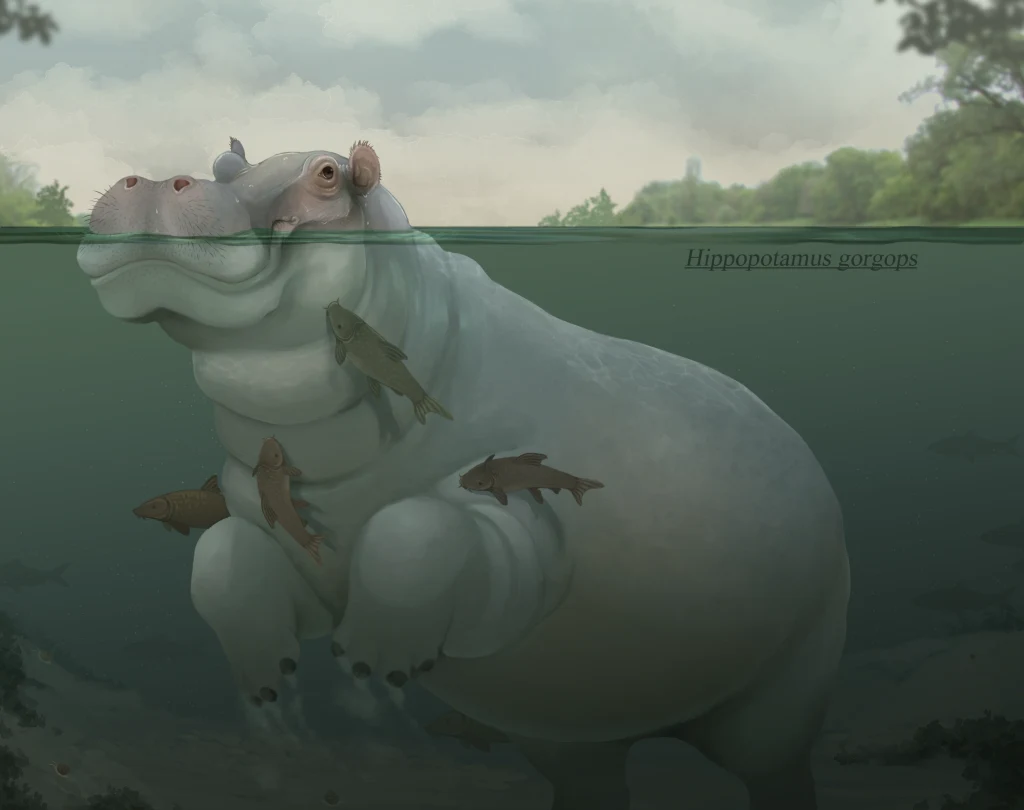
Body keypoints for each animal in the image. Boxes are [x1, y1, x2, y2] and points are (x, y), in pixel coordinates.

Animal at [77, 137, 850, 810]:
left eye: (327, 173)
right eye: (224, 164)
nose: (153, 182)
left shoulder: (513, 514)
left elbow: (415, 533)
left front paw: (372, 661)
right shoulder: (281, 525)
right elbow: (220, 558)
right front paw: (265, 678)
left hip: (785, 695)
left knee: (776, 768)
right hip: (567, 732)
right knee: (591, 776)